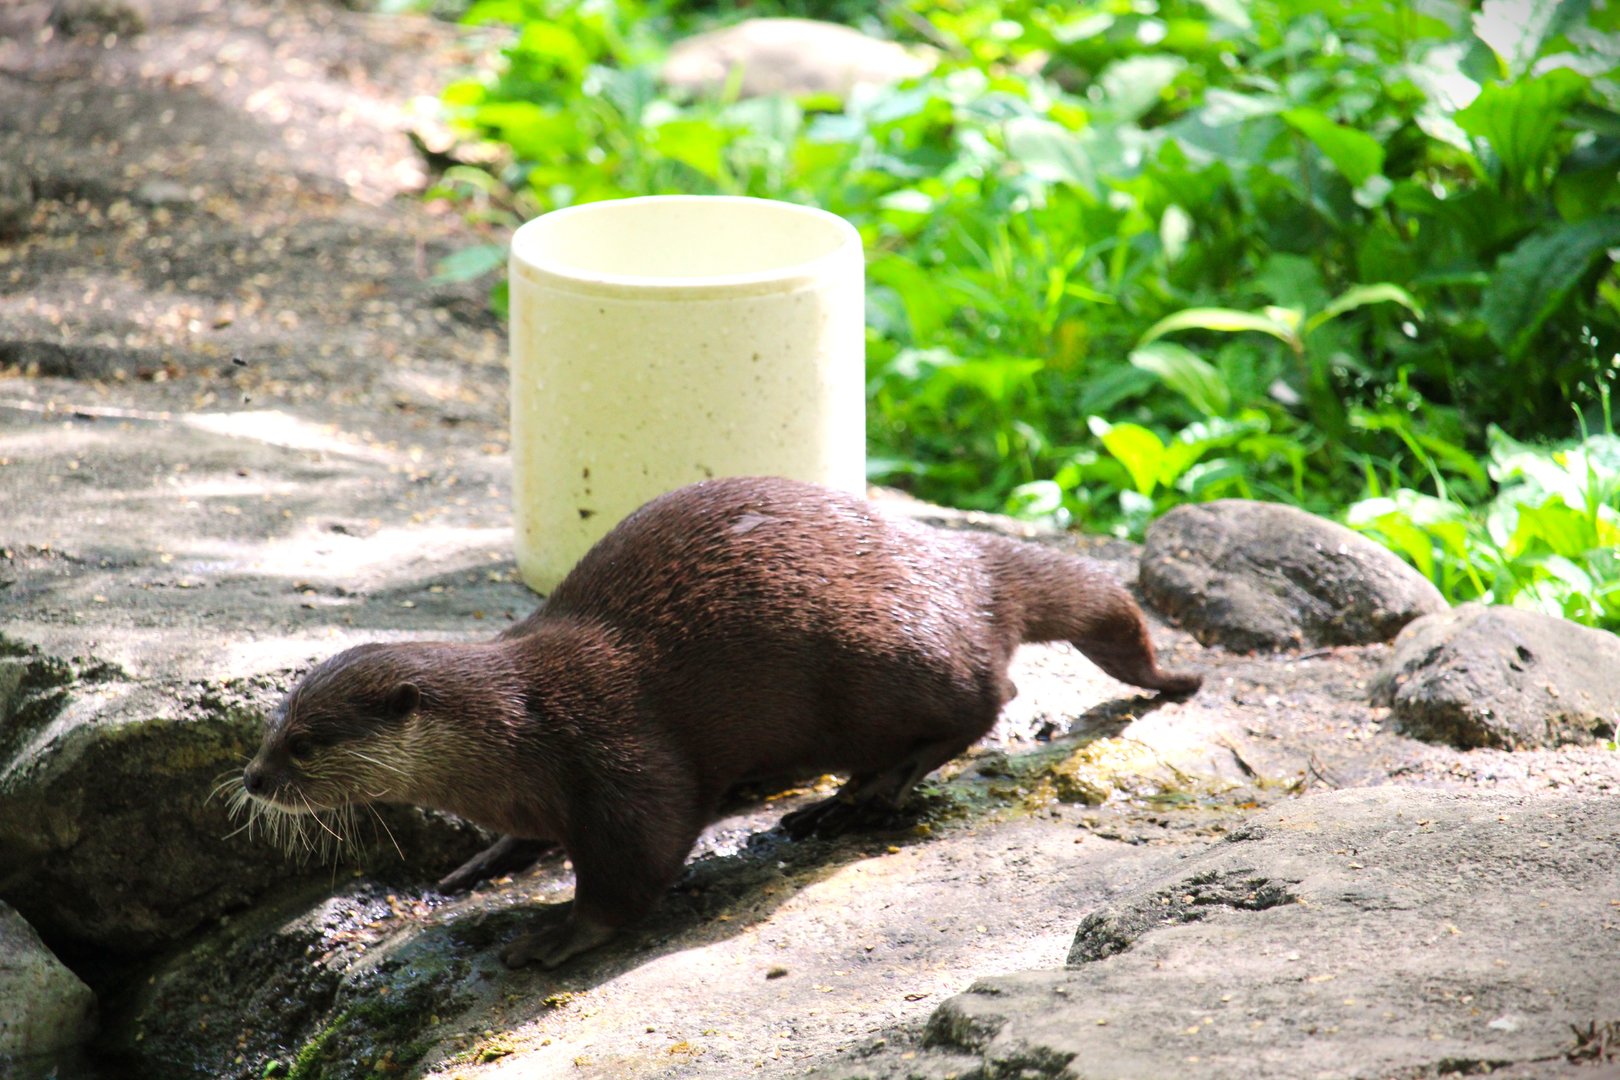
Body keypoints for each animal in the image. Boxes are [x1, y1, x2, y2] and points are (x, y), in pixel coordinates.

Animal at [242, 476, 1200, 968]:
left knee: (984, 702)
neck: (520, 727)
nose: (252, 780)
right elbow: (526, 840)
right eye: (272, 724)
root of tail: (961, 565)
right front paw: (482, 864)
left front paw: (556, 934)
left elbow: (634, 870)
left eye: (306, 743)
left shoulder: (619, 762)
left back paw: (853, 796)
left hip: (884, 661)